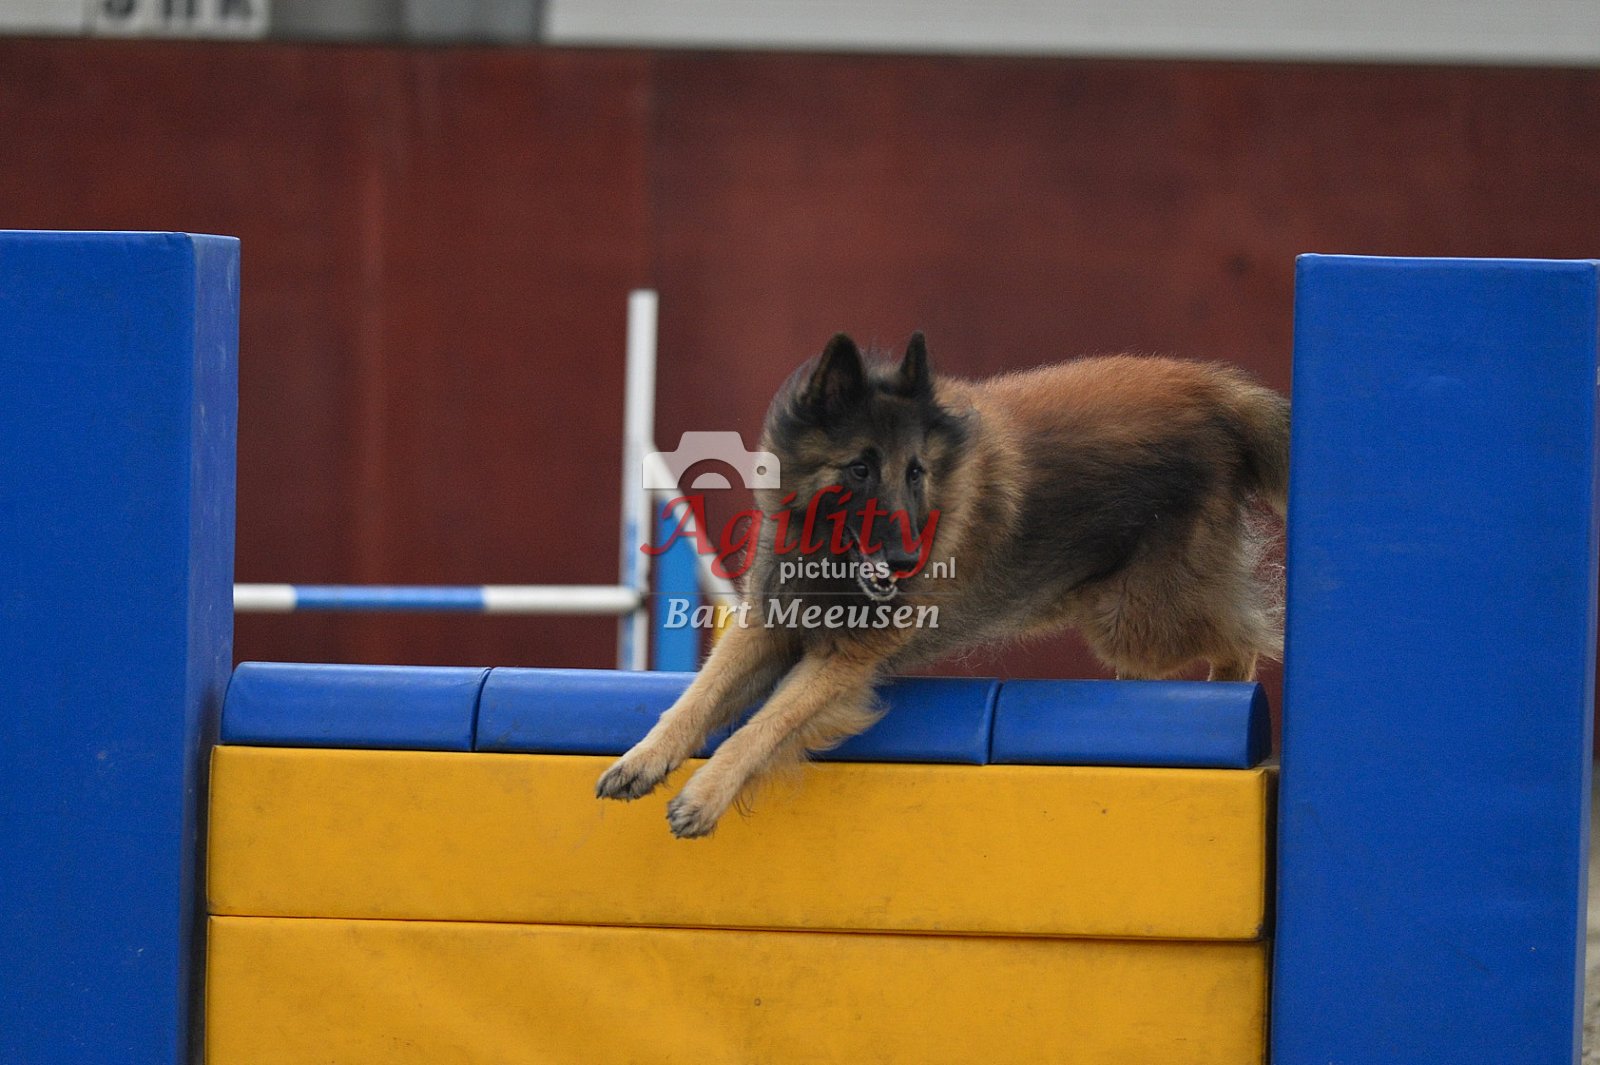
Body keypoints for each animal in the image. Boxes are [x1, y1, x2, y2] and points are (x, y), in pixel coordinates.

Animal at [597, 332, 1289, 837]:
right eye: (859, 468)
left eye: (916, 471)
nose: (908, 560)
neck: (830, 555)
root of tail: (1218, 391)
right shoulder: (770, 623)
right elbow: (696, 698)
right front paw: (643, 759)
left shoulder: (844, 659)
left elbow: (762, 725)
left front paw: (705, 795)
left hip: (1132, 618)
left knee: (1244, 635)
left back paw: (1225, 705)